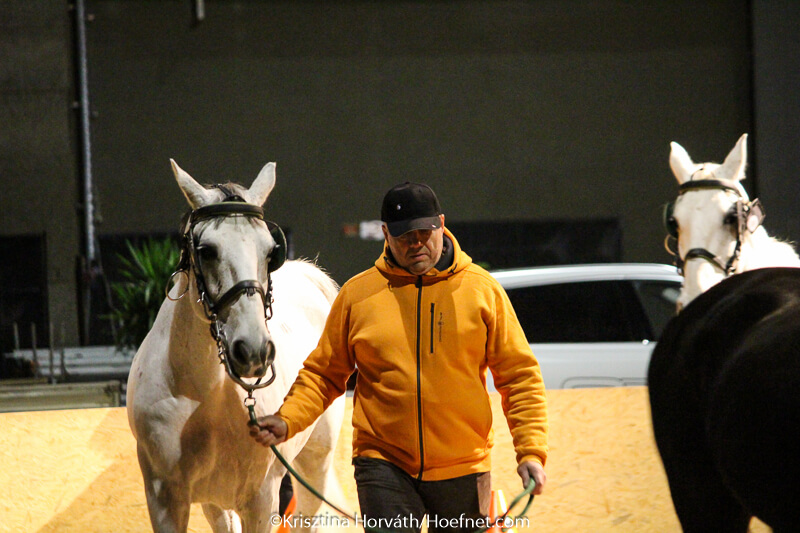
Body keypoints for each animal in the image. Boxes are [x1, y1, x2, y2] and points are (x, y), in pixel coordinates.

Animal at [126, 160, 346, 533]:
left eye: (270, 251)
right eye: (206, 251)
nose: (253, 351)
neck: (205, 396)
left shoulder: (260, 500)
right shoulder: (165, 498)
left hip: (315, 464)